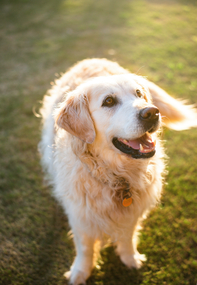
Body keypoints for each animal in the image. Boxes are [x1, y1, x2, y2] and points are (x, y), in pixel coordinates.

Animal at [38, 58, 197, 284]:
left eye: (138, 93)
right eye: (109, 101)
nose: (152, 112)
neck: (115, 176)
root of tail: (90, 59)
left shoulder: (132, 213)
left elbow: (127, 237)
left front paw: (130, 259)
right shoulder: (80, 216)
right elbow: (85, 248)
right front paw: (81, 271)